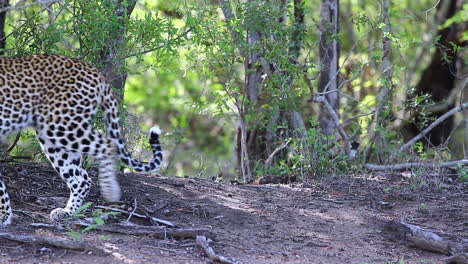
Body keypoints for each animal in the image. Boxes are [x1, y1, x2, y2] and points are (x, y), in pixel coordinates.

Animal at [0, 54, 165, 227]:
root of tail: (92, 70)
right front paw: (5, 215)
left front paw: (4, 216)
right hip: (55, 136)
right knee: (82, 178)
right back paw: (68, 212)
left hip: (62, 126)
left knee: (109, 145)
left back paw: (109, 191)